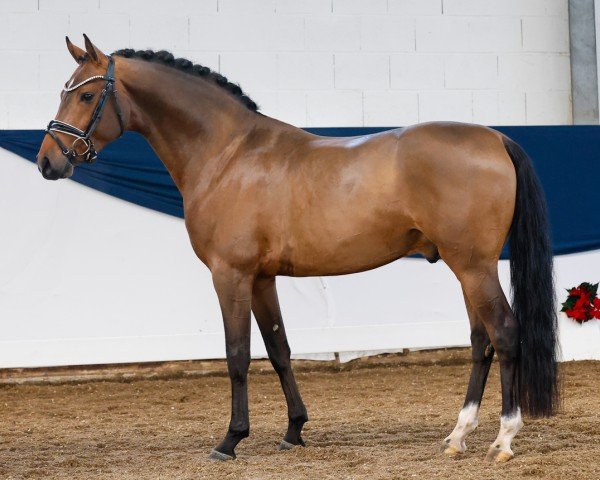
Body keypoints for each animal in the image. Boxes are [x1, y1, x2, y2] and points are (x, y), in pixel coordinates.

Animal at [35, 35, 560, 464]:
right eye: (65, 90)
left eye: (85, 94)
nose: (47, 162)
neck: (227, 154)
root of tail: (496, 137)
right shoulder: (262, 278)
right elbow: (279, 349)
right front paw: (293, 431)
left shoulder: (230, 274)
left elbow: (237, 354)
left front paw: (230, 440)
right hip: (467, 268)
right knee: (480, 341)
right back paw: (458, 435)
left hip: (474, 266)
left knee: (505, 333)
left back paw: (503, 439)